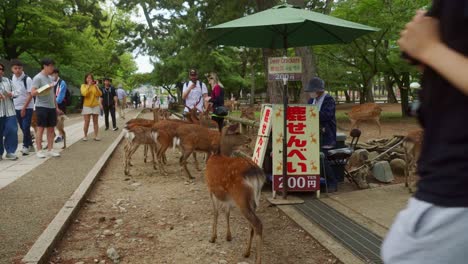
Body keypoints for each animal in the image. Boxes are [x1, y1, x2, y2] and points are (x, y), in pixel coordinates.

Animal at [205, 124, 264, 264]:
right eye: (237, 133)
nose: (249, 139)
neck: (218, 155)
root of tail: (256, 173)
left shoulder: (210, 189)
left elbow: (216, 212)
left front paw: (213, 237)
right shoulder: (228, 197)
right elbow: (227, 213)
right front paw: (228, 236)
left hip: (241, 197)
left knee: (257, 224)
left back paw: (257, 260)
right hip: (254, 200)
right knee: (252, 225)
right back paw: (246, 252)